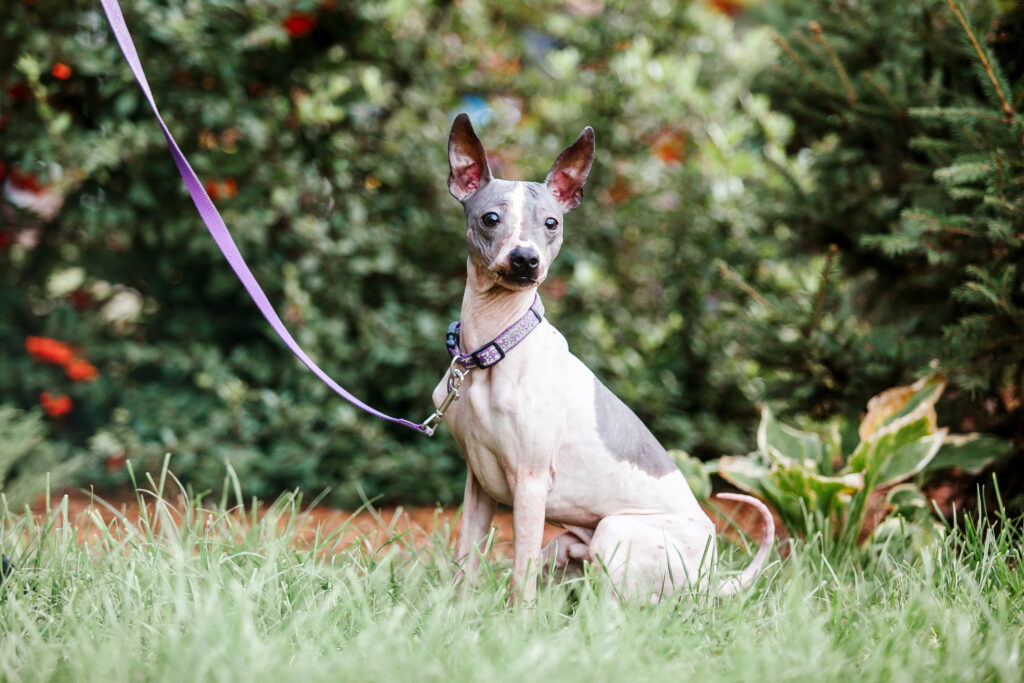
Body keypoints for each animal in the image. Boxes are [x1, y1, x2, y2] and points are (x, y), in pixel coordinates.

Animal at [436, 113, 770, 602]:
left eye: (552, 223)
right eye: (490, 218)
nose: (526, 260)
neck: (492, 350)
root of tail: (712, 579)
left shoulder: (530, 484)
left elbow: (519, 578)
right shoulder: (478, 485)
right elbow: (465, 565)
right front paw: (457, 615)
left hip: (614, 532)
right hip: (565, 546)